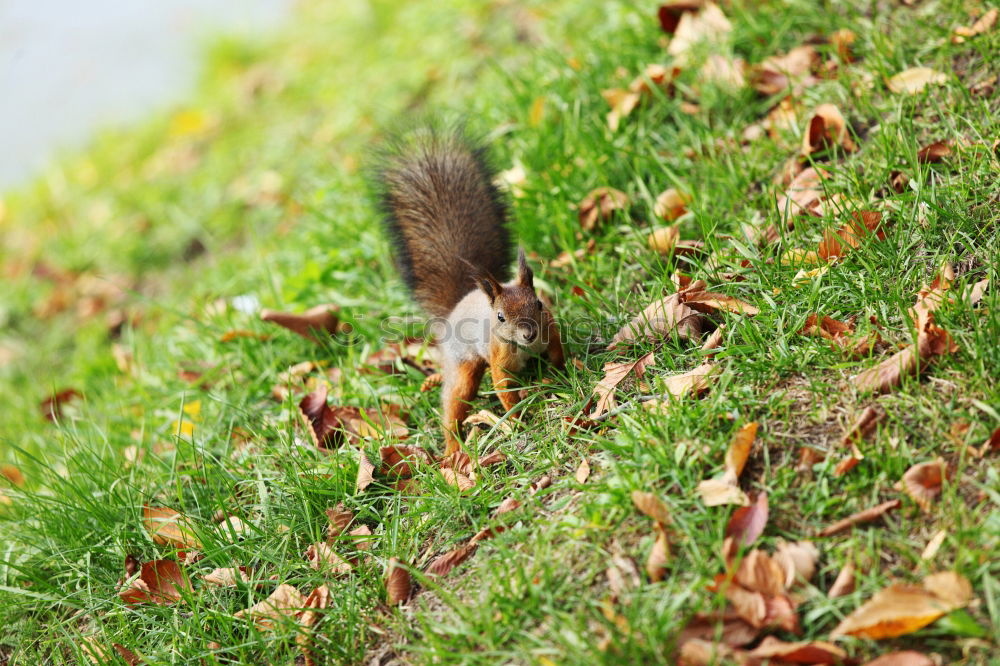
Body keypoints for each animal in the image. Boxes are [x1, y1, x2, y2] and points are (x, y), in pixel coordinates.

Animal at [374, 127, 564, 454]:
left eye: (539, 304)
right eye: (500, 317)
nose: (529, 334)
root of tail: (455, 308)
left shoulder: (550, 331)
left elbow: (558, 352)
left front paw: (566, 371)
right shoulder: (499, 358)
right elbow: (504, 390)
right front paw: (517, 420)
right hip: (462, 366)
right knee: (454, 402)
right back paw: (453, 449)